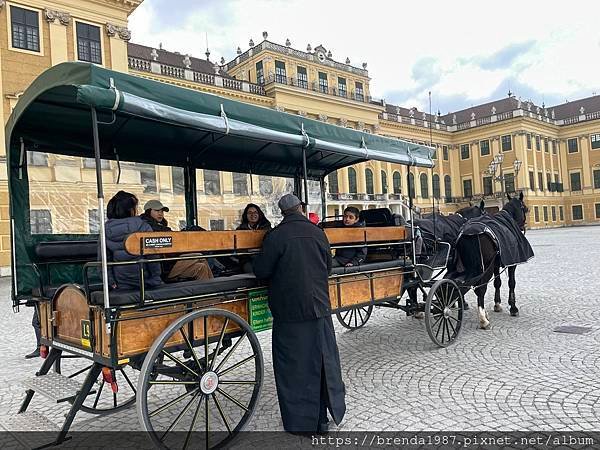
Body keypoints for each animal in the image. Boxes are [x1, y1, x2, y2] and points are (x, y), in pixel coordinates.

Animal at [452, 192, 532, 328]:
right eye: (525, 208)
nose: (523, 227)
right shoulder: (512, 264)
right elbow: (511, 282)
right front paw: (513, 307)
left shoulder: (495, 265)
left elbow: (497, 282)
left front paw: (497, 304)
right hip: (484, 269)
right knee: (480, 288)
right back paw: (483, 319)